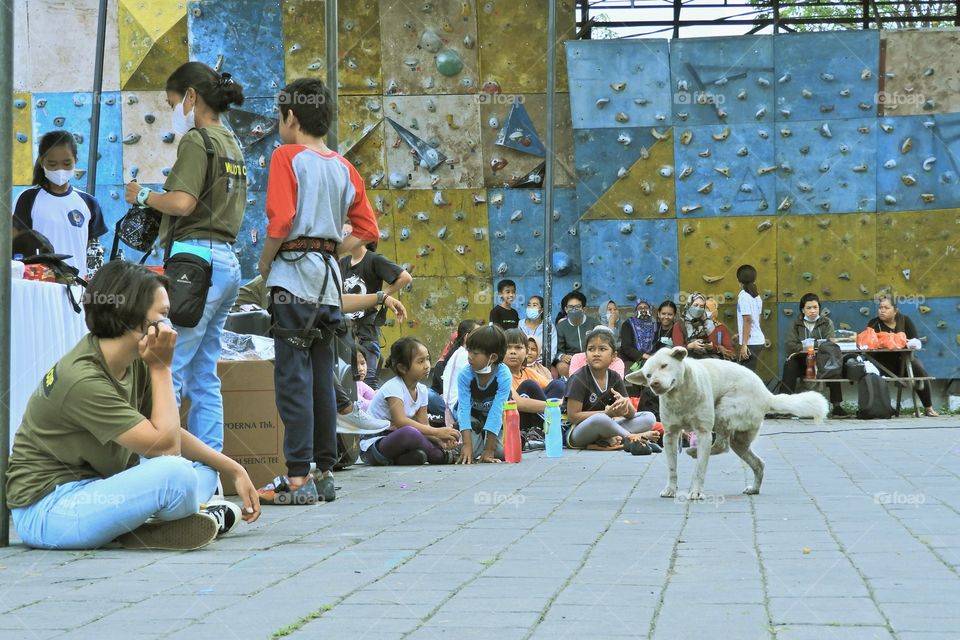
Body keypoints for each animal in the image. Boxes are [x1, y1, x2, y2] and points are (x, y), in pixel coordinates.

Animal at [628, 344, 828, 500]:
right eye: (648, 375)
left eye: (664, 365)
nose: (654, 384)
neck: (680, 395)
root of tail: (767, 395)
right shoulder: (670, 435)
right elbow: (672, 468)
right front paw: (670, 489)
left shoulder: (703, 433)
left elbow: (700, 469)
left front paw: (696, 492)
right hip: (739, 441)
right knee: (757, 462)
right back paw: (754, 488)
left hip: (723, 411)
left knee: (721, 446)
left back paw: (693, 451)